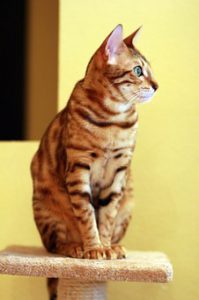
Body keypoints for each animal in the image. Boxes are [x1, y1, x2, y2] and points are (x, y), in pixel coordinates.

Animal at [31, 24, 159, 296]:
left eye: (150, 70)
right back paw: (75, 247)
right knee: (54, 244)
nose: (157, 85)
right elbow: (87, 215)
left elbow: (107, 216)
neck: (114, 119)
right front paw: (93, 248)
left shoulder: (120, 170)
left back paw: (117, 248)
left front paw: (106, 247)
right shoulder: (78, 166)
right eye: (138, 70)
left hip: (128, 204)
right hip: (46, 208)